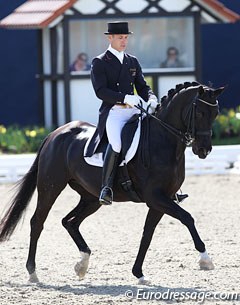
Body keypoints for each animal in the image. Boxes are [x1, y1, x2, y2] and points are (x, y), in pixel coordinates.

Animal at [0, 81, 225, 282]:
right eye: (199, 113)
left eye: (215, 114)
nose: (203, 150)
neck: (162, 141)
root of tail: (55, 134)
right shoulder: (155, 197)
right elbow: (187, 218)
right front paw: (205, 259)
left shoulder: (161, 200)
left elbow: (148, 234)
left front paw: (138, 273)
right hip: (50, 187)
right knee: (37, 222)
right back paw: (32, 272)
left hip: (91, 198)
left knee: (69, 222)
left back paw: (82, 264)